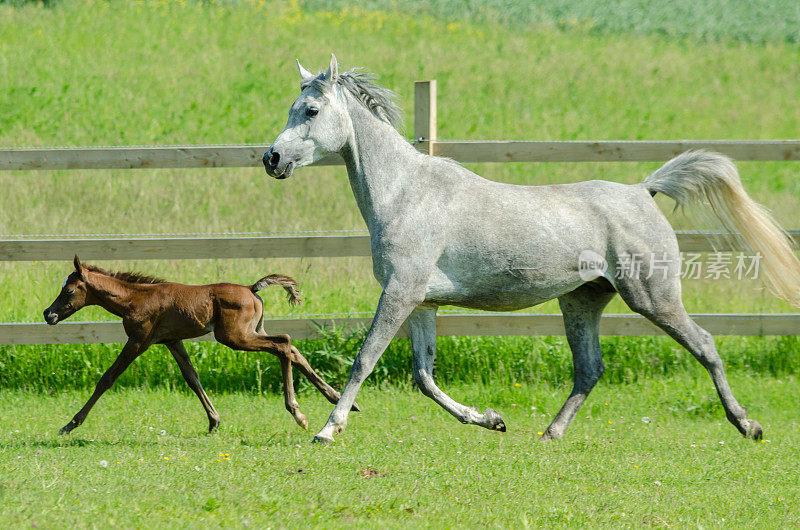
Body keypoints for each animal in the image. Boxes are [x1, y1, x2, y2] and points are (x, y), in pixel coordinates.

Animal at [44, 255, 354, 434]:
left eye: (68, 290)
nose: (49, 314)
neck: (135, 299)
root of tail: (251, 289)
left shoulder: (139, 341)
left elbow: (107, 378)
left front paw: (70, 424)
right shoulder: (172, 341)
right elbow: (192, 378)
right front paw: (214, 422)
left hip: (234, 337)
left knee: (283, 345)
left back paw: (298, 412)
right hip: (252, 331)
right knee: (291, 347)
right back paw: (338, 398)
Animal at [266, 54, 800, 442]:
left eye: (311, 111)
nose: (272, 158)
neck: (406, 193)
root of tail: (642, 191)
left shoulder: (400, 293)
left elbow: (365, 359)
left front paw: (328, 430)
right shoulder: (422, 302)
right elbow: (423, 376)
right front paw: (491, 419)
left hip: (654, 296)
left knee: (705, 345)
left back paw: (747, 425)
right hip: (582, 300)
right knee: (589, 369)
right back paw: (550, 433)